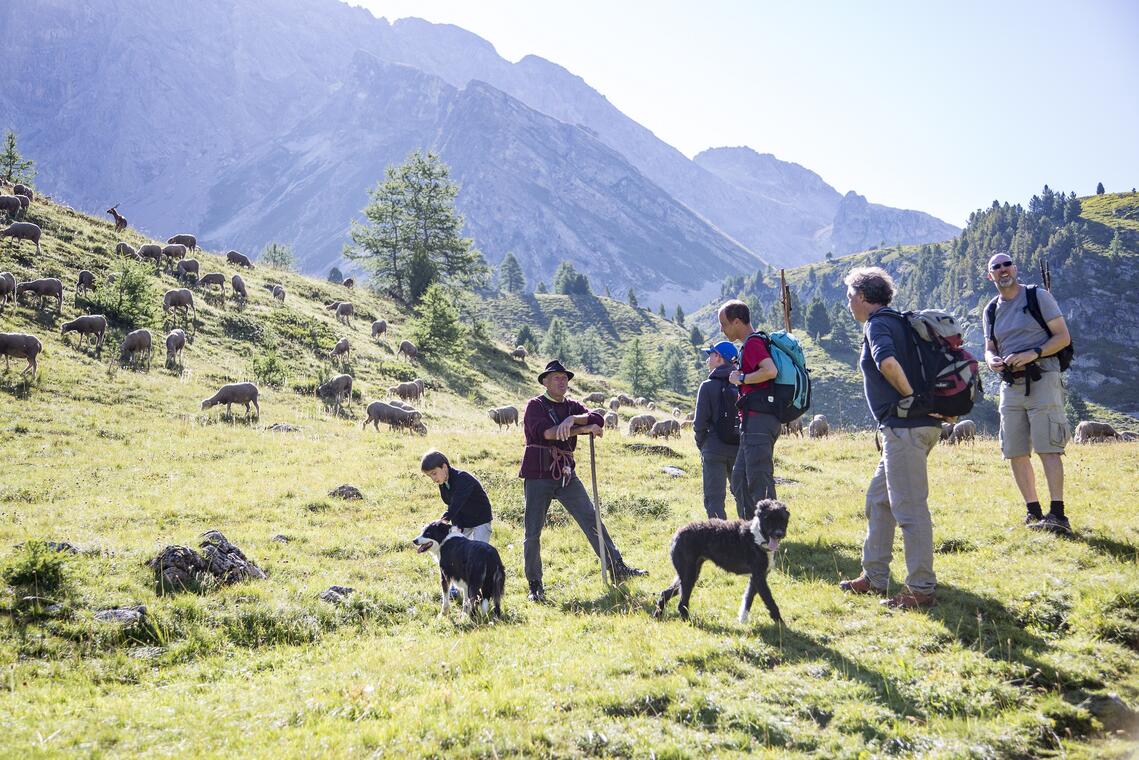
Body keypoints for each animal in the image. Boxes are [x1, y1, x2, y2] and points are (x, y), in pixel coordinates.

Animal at [656, 499, 788, 624]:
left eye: (783, 519)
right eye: (768, 519)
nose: (778, 534)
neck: (757, 537)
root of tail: (677, 534)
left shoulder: (757, 577)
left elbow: (748, 598)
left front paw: (742, 619)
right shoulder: (759, 577)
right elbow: (769, 600)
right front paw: (780, 623)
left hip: (689, 573)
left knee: (665, 593)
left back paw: (658, 615)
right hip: (689, 575)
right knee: (681, 604)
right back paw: (689, 622)